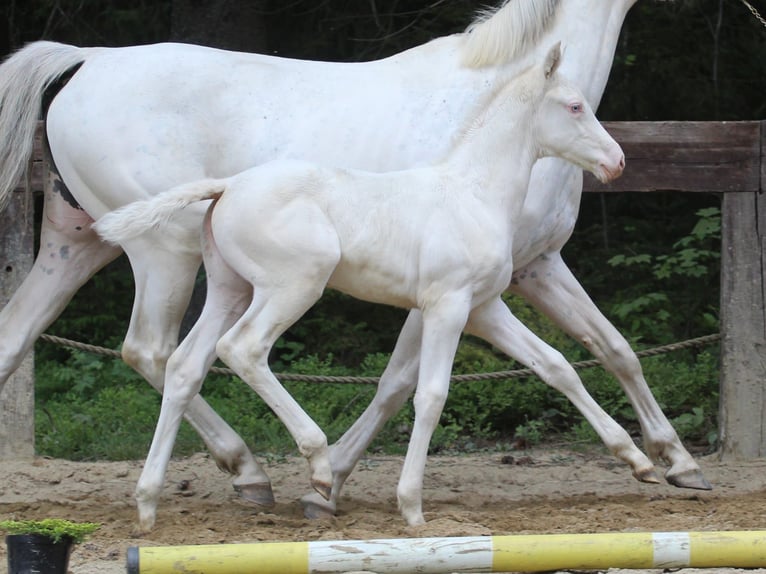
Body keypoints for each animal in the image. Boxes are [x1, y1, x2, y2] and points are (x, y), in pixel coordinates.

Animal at [96, 45, 632, 532]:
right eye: (575, 106)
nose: (618, 162)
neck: (471, 193)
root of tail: (228, 185)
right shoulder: (448, 305)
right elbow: (431, 396)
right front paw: (411, 507)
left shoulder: (485, 309)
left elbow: (557, 366)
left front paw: (635, 457)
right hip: (294, 285)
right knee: (242, 349)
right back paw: (316, 466)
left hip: (231, 291)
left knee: (184, 366)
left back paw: (149, 503)